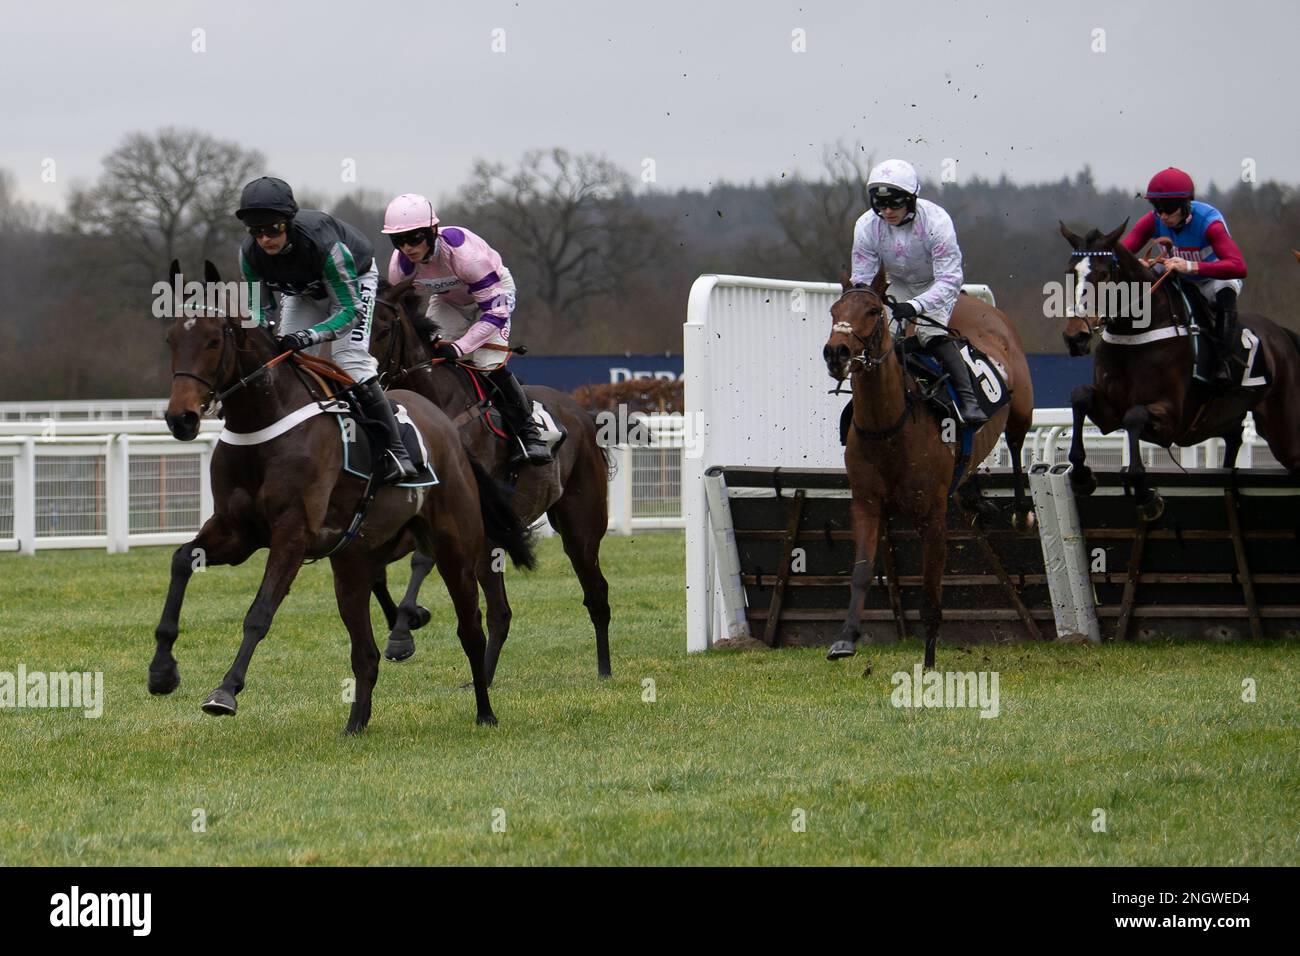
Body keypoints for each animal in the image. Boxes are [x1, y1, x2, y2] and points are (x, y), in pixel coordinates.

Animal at [150, 257, 533, 728]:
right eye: (170, 339)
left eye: (213, 339)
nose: (181, 419)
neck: (263, 422)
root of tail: (445, 427)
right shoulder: (236, 532)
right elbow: (181, 560)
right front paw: (162, 671)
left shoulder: (293, 534)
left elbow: (260, 612)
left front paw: (226, 690)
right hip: (353, 559)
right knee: (366, 650)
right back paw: (357, 723)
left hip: (455, 544)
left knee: (471, 627)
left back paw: (484, 711)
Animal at [366, 273, 608, 686]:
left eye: (382, 329)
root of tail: (582, 415)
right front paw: (407, 622)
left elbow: (420, 560)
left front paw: (401, 635)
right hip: (492, 540)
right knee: (500, 612)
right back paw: (484, 676)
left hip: (581, 526)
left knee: (596, 593)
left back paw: (605, 670)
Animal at [821, 273, 1034, 671]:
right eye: (834, 310)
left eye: (873, 311)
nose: (836, 353)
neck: (890, 427)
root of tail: (971, 300)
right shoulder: (866, 504)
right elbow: (861, 573)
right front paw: (845, 638)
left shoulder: (932, 516)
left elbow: (931, 592)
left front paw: (930, 662)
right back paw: (974, 497)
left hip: (1022, 407)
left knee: (1015, 444)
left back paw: (1021, 511)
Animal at [1060, 221, 1294, 520]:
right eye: (1070, 272)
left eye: (1103, 273)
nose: (1075, 336)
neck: (1136, 332)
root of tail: (1283, 335)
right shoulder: (1110, 412)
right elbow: (1080, 396)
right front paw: (1081, 475)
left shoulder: (1172, 417)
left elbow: (1134, 416)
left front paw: (1145, 493)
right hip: (1227, 417)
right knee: (1234, 438)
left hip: (1285, 430)